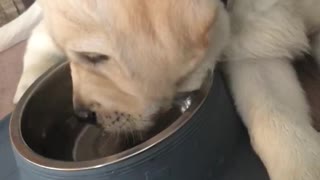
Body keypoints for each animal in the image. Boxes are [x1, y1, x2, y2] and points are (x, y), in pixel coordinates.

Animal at [1, 0, 320, 180]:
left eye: (94, 56)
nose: (82, 115)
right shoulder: (252, 52)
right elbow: (273, 123)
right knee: (38, 34)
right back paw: (26, 83)